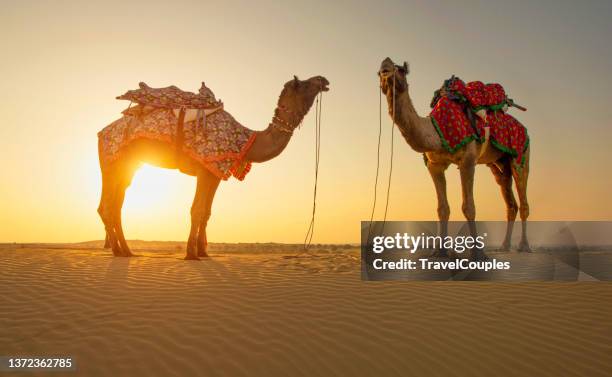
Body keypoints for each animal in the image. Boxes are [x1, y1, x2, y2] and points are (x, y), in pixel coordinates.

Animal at [98, 75, 330, 258]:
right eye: (304, 84)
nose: (323, 80)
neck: (246, 140)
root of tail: (101, 133)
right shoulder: (205, 167)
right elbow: (197, 209)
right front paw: (191, 254)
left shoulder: (215, 173)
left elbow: (207, 212)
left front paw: (203, 252)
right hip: (112, 163)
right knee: (108, 206)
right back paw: (120, 251)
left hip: (128, 166)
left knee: (114, 206)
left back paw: (125, 251)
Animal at [376, 56, 528, 256]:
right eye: (378, 72)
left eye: (400, 69)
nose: (385, 67)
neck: (436, 131)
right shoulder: (434, 165)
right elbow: (442, 208)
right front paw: (440, 252)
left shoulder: (468, 160)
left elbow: (469, 207)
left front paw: (477, 255)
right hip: (499, 162)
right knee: (508, 196)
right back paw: (504, 245)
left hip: (521, 152)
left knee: (523, 197)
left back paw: (524, 246)